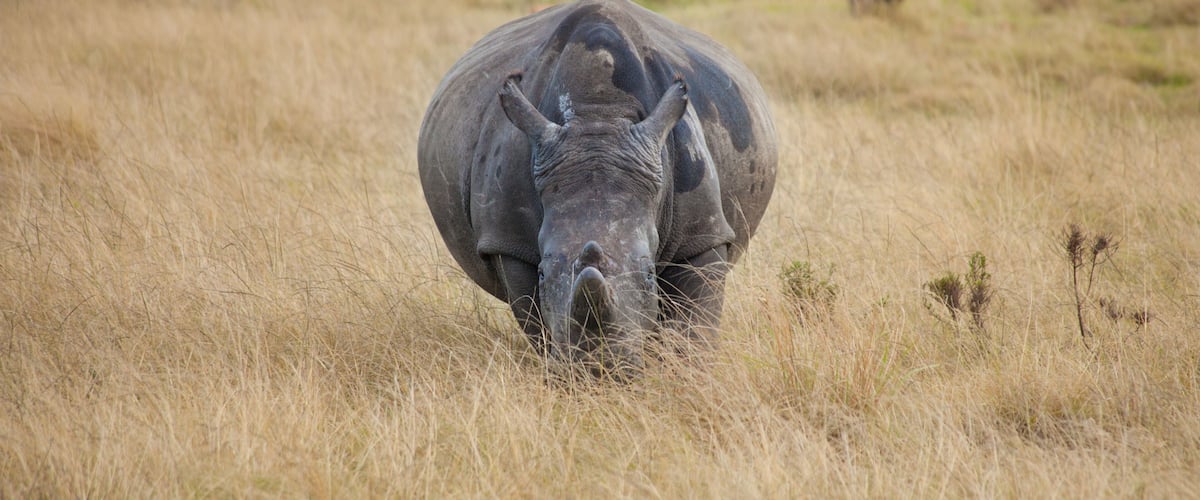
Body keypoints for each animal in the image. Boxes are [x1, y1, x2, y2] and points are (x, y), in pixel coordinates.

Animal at [418, 0, 777, 379]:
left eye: (649, 274)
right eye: (543, 272)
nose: (598, 370)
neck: (599, 115)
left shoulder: (702, 233)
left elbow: (694, 327)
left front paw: (688, 378)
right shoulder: (507, 241)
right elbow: (536, 320)